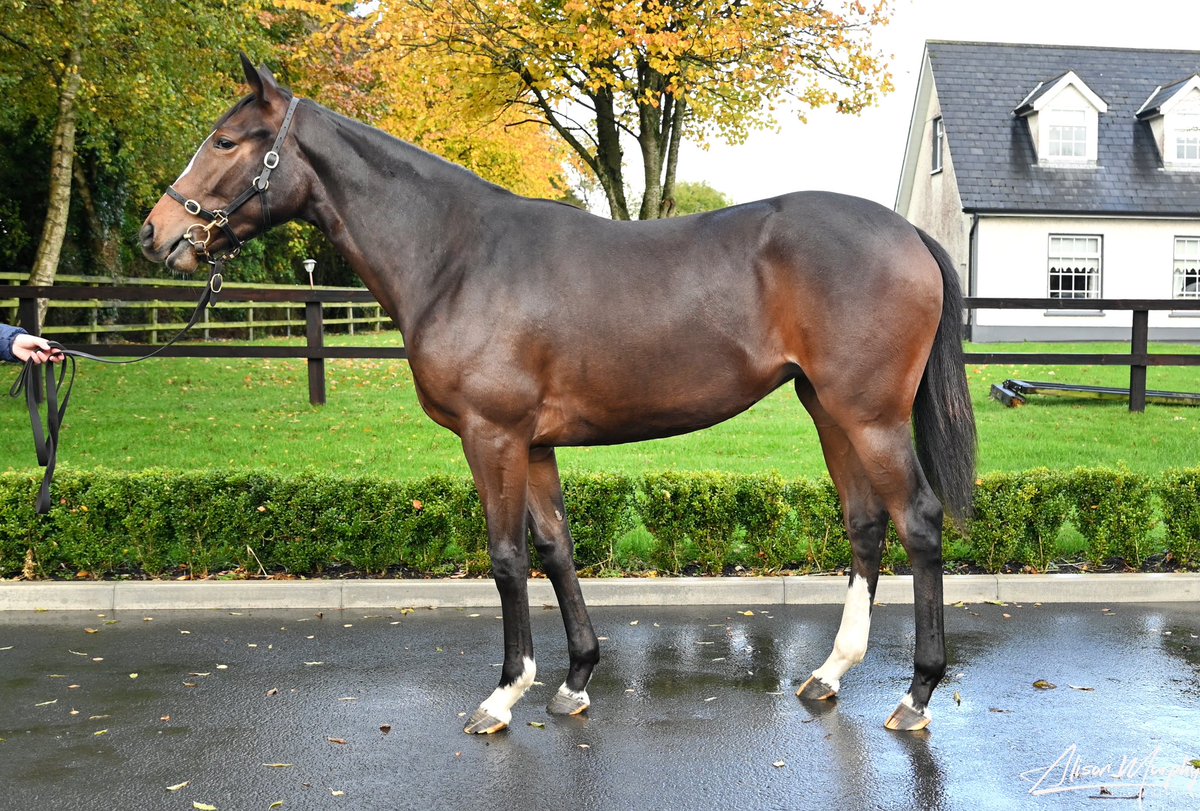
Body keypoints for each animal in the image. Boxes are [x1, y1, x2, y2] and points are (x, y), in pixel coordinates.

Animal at [142, 53, 974, 729]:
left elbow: (507, 556)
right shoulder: (534, 442)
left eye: (225, 141)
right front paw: (574, 681)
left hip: (871, 416)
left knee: (918, 520)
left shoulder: (492, 435)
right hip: (828, 408)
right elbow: (555, 547)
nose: (156, 233)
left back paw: (916, 693)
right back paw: (830, 673)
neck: (456, 255)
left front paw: (504, 692)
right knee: (865, 522)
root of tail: (907, 233)